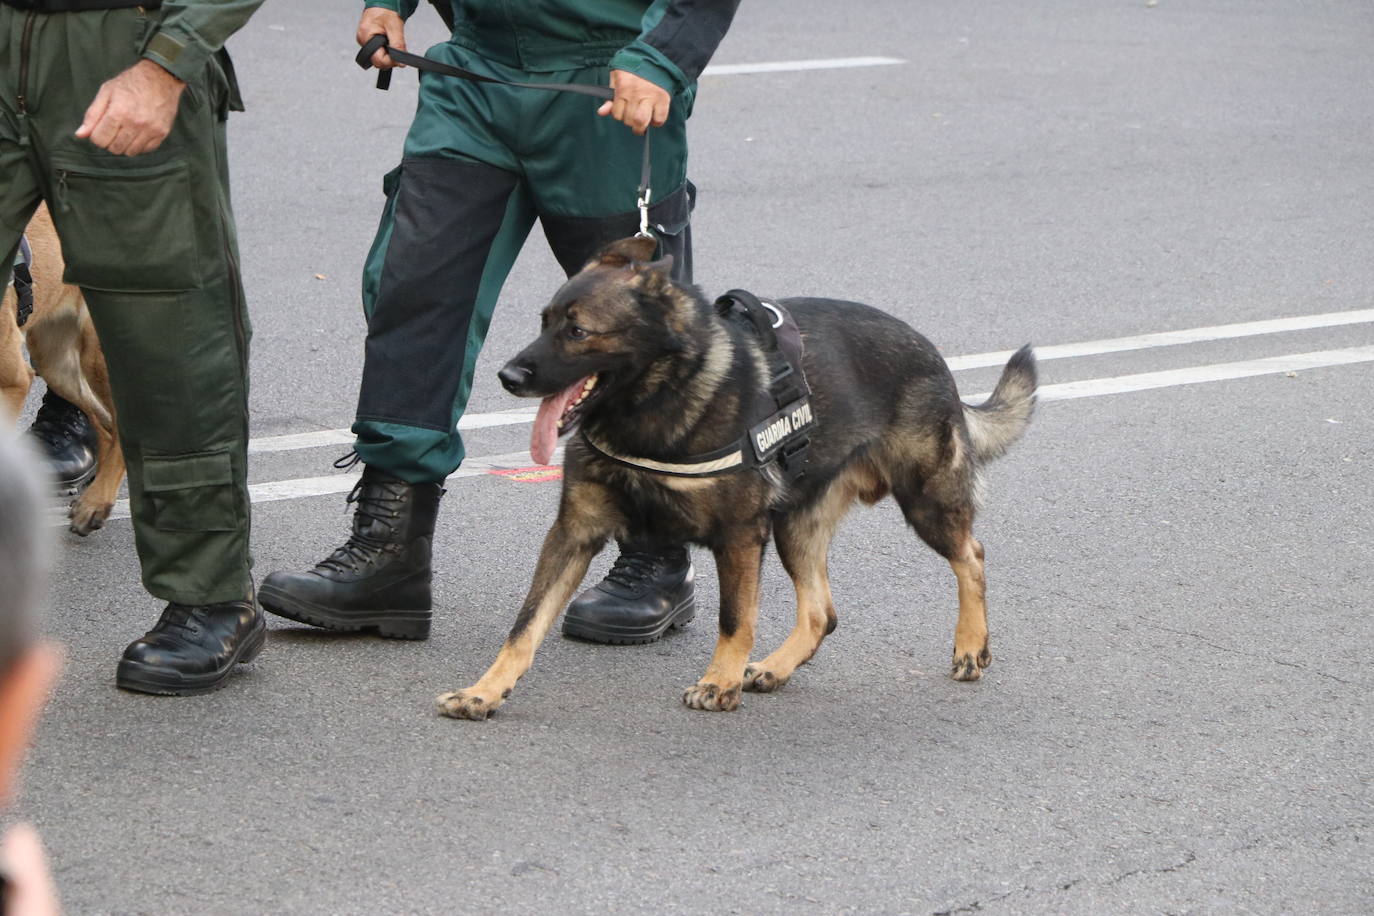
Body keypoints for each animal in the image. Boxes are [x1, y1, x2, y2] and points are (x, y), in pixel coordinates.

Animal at [434, 238, 1033, 725]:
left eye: (578, 331)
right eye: (544, 322)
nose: (507, 377)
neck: (653, 405)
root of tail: (931, 350)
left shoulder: (739, 536)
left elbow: (734, 617)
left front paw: (717, 682)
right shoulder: (573, 534)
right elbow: (525, 623)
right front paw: (484, 691)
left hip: (924, 501)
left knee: (972, 554)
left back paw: (970, 646)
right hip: (795, 528)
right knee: (821, 612)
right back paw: (776, 668)